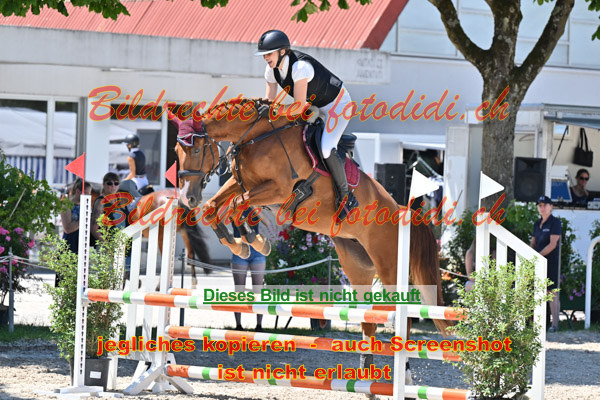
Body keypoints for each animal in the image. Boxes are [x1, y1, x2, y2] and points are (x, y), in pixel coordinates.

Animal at [169, 98, 450, 379]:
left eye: (196, 150)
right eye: (176, 150)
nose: (189, 198)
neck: (254, 136)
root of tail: (401, 210)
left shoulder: (278, 189)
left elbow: (238, 204)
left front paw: (253, 241)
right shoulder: (242, 184)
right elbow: (215, 206)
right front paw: (239, 244)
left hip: (389, 266)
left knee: (403, 316)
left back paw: (405, 373)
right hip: (358, 267)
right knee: (370, 318)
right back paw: (365, 373)